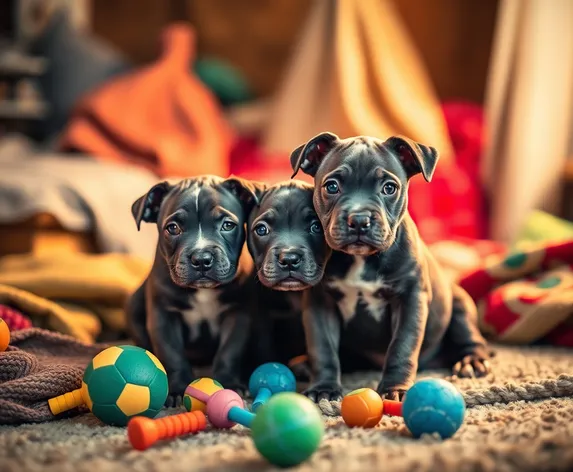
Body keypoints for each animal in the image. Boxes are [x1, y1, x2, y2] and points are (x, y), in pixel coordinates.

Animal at [127, 175, 260, 404]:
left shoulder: (238, 314)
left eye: (228, 225)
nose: (201, 258)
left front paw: (230, 384)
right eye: (173, 228)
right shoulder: (164, 316)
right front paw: (178, 388)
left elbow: (230, 351)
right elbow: (172, 354)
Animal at [290, 132, 492, 402]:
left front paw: (394, 389)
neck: (362, 259)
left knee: (470, 337)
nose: (359, 219)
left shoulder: (410, 299)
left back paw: (472, 362)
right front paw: (324, 388)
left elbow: (402, 346)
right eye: (331, 186)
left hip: (460, 305)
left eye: (389, 188)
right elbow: (323, 348)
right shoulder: (321, 303)